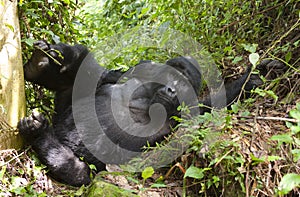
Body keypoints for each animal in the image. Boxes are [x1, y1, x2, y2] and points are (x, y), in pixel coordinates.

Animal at [17, 39, 278, 186]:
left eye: (184, 85)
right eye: (174, 78)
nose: (172, 90)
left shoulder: (188, 115)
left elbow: (212, 107)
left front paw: (252, 79)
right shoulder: (137, 70)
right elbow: (101, 75)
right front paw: (255, 75)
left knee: (80, 172)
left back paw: (42, 135)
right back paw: (41, 63)